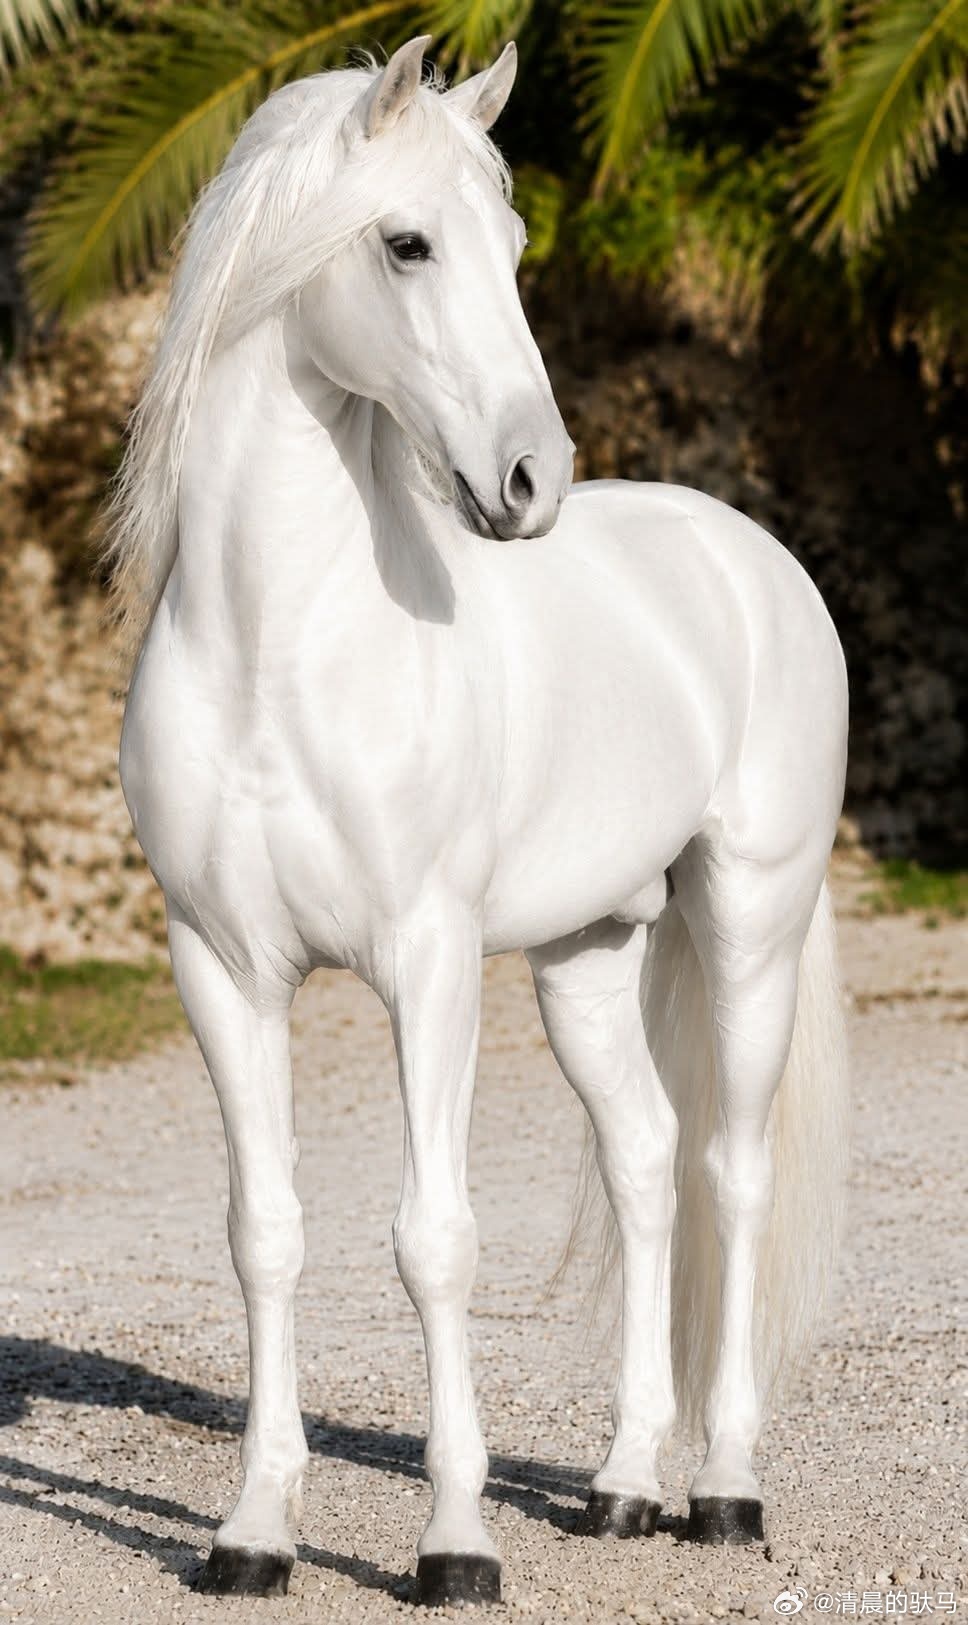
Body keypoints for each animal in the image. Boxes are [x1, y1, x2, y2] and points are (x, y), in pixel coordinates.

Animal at [112, 35, 849, 1608]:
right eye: (406, 243)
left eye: (512, 249)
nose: (530, 482)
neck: (276, 649)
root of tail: (747, 553)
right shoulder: (221, 968)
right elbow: (265, 1235)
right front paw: (251, 1533)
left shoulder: (428, 964)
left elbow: (433, 1238)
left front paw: (454, 1542)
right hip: (586, 956)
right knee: (645, 1165)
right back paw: (624, 1488)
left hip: (749, 921)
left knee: (731, 1173)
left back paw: (725, 1491)